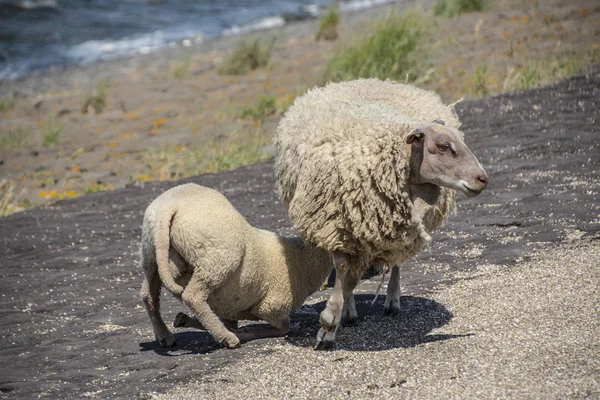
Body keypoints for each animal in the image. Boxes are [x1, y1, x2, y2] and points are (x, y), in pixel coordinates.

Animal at [141, 183, 332, 348]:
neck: (301, 259)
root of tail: (168, 207)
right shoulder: (271, 306)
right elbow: (284, 327)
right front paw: (245, 333)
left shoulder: (229, 306)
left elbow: (229, 321)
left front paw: (184, 320)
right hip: (215, 260)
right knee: (192, 296)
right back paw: (227, 338)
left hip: (156, 255)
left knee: (148, 293)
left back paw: (164, 335)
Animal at [276, 79, 488, 350]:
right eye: (442, 146)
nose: (482, 179)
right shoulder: (338, 228)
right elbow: (344, 271)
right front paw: (334, 320)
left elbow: (351, 280)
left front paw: (330, 323)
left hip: (397, 233)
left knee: (395, 262)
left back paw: (391, 302)